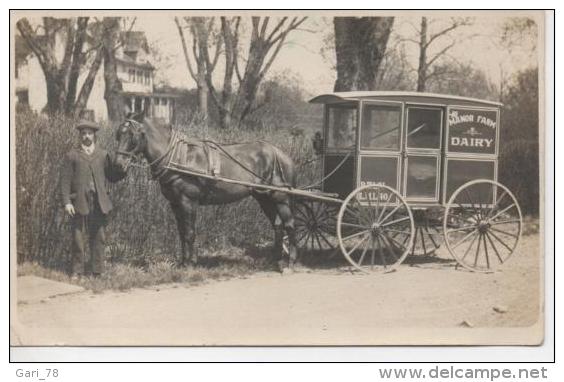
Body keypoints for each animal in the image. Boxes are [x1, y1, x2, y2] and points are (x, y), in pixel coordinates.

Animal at [114, 112, 300, 274]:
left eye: (132, 136)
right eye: (118, 135)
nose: (118, 166)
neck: (178, 157)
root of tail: (282, 155)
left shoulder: (188, 201)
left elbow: (189, 233)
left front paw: (190, 263)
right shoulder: (175, 203)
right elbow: (181, 232)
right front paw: (183, 262)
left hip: (280, 198)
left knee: (290, 224)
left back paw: (291, 262)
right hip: (263, 197)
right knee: (277, 226)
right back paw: (275, 260)